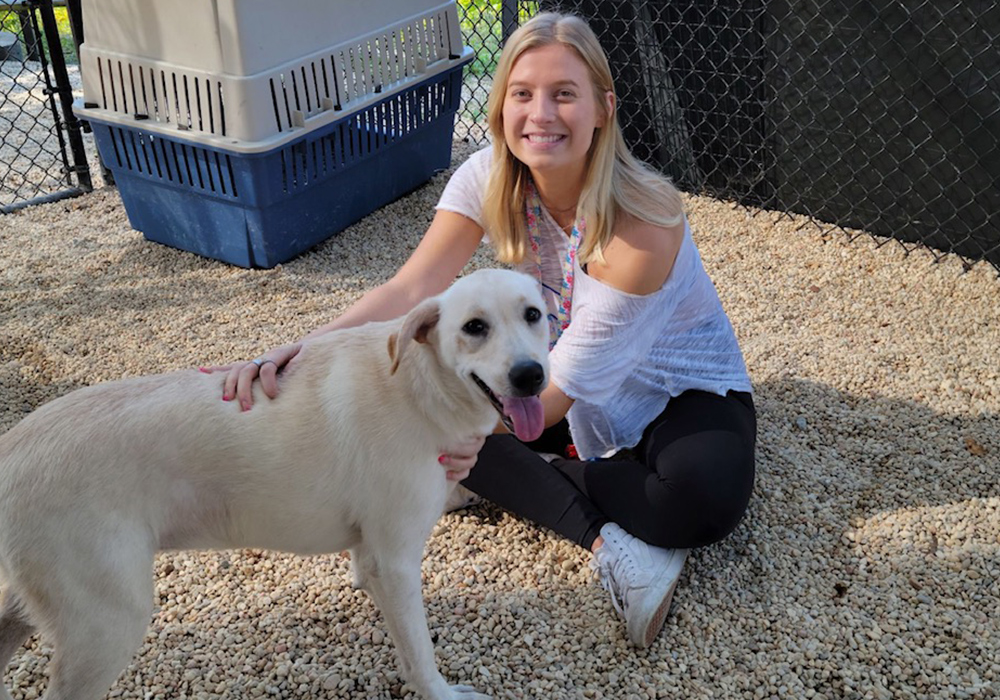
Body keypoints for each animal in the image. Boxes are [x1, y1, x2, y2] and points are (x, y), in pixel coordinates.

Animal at [0, 268, 548, 700]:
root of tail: (12, 450)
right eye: (473, 327)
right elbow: (419, 654)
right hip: (107, 624)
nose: (531, 375)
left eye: (534, 314)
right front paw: (442, 693)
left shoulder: (373, 556)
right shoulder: (396, 561)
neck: (420, 387)